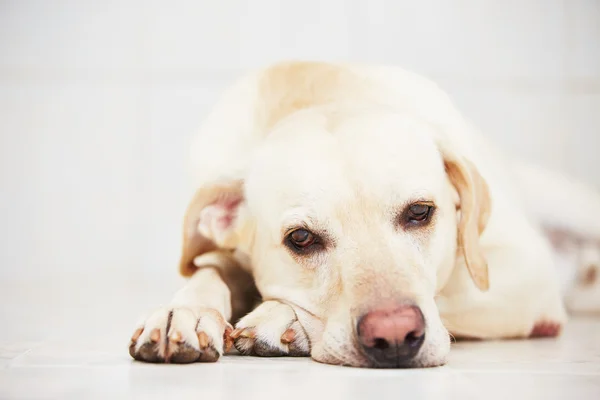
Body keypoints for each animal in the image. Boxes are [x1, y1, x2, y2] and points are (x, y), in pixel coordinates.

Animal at [129, 61, 600, 368]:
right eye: (301, 239)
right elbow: (210, 270)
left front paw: (279, 317)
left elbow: (446, 291)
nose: (394, 336)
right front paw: (185, 312)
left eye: (420, 212)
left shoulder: (523, 269)